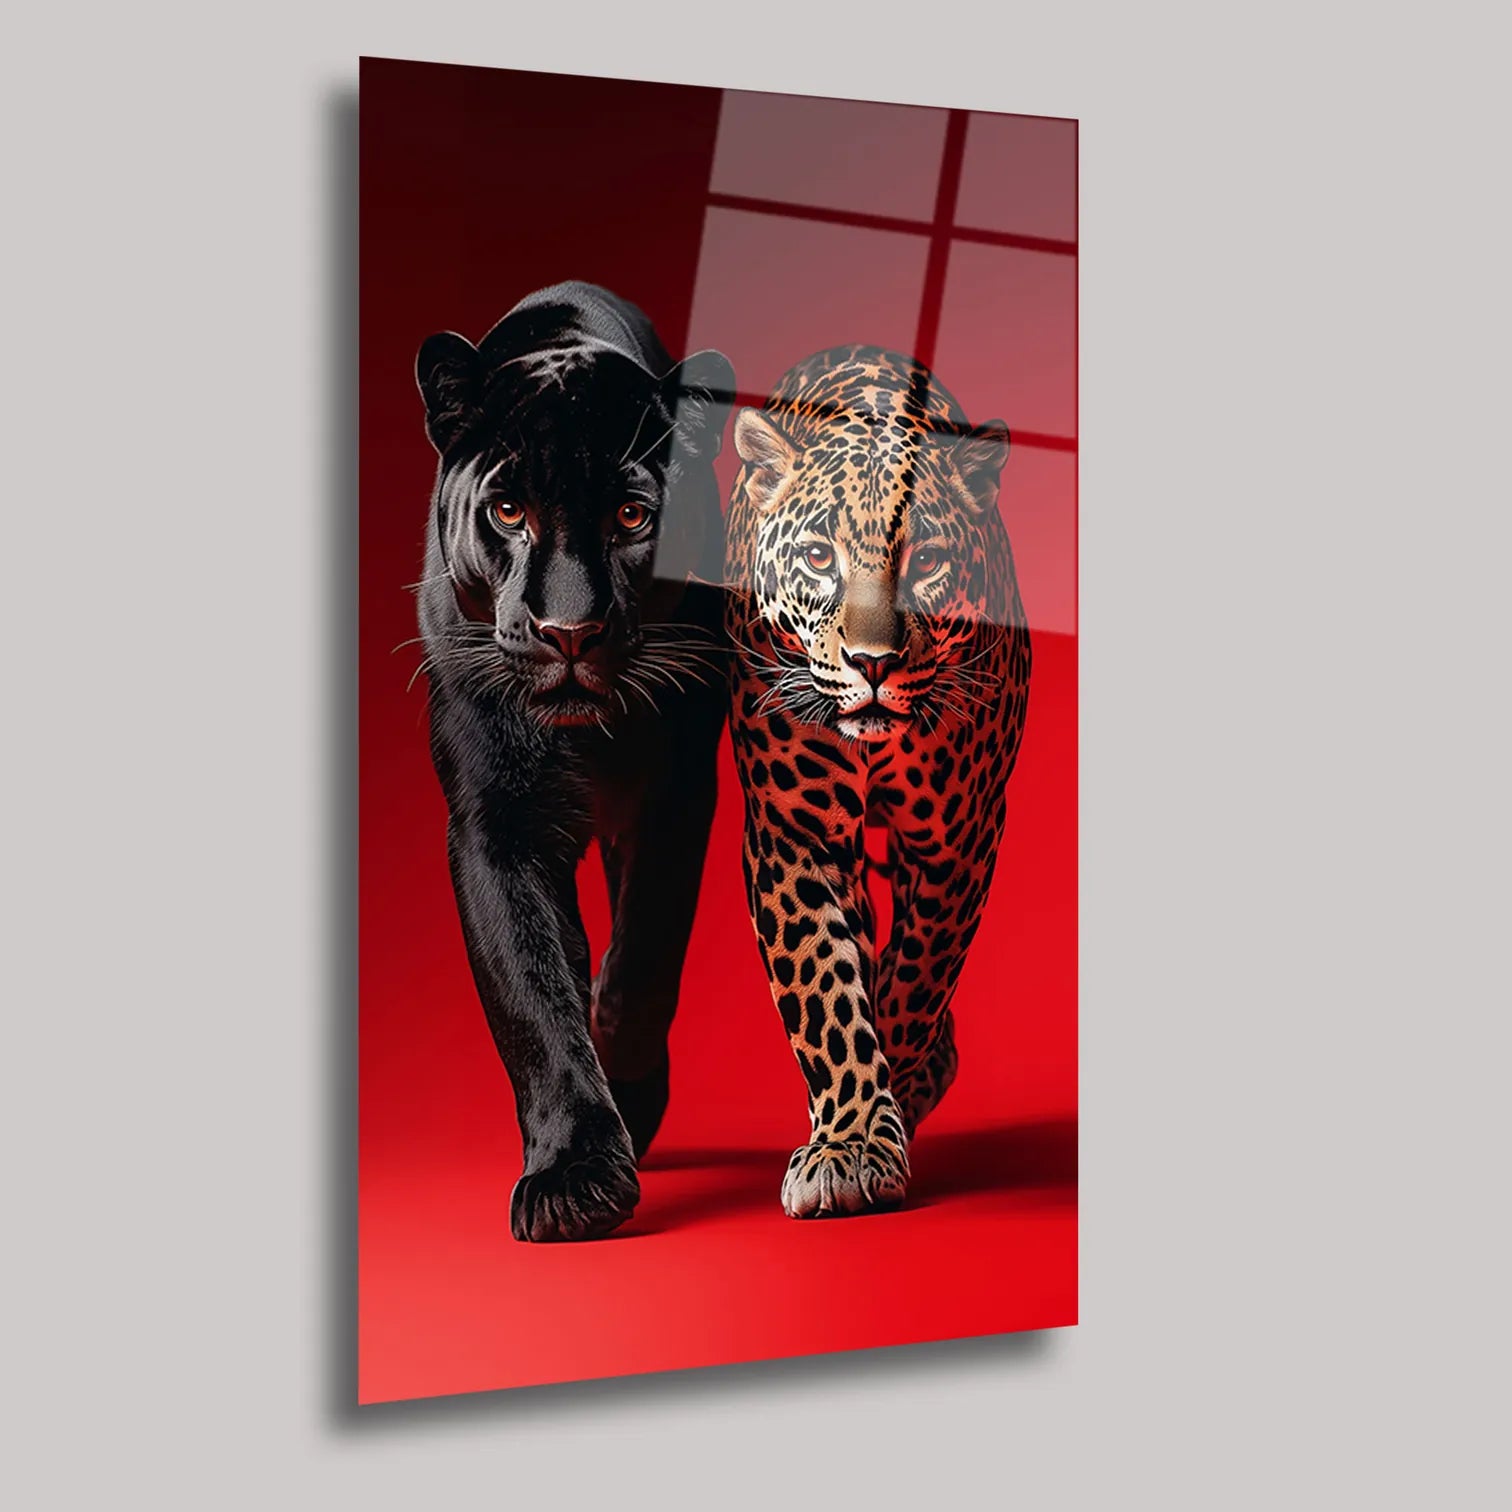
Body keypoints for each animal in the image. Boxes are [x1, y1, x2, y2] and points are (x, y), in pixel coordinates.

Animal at [723, 345, 1031, 1219]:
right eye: (819, 557)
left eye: (924, 561)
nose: (872, 663)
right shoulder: (795, 835)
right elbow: (825, 986)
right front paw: (852, 1137)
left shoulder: (961, 838)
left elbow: (918, 974)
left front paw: (891, 1096)